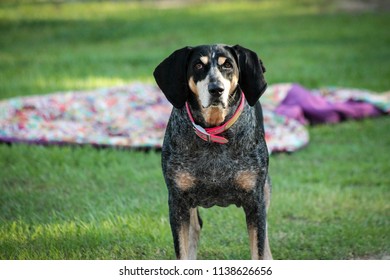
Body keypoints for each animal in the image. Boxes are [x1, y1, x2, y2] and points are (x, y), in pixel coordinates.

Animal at [153, 43, 272, 260]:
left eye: (228, 65)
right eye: (198, 65)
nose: (216, 89)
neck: (213, 132)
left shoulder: (255, 200)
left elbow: (258, 248)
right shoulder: (177, 200)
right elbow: (182, 250)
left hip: (266, 188)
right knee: (195, 227)